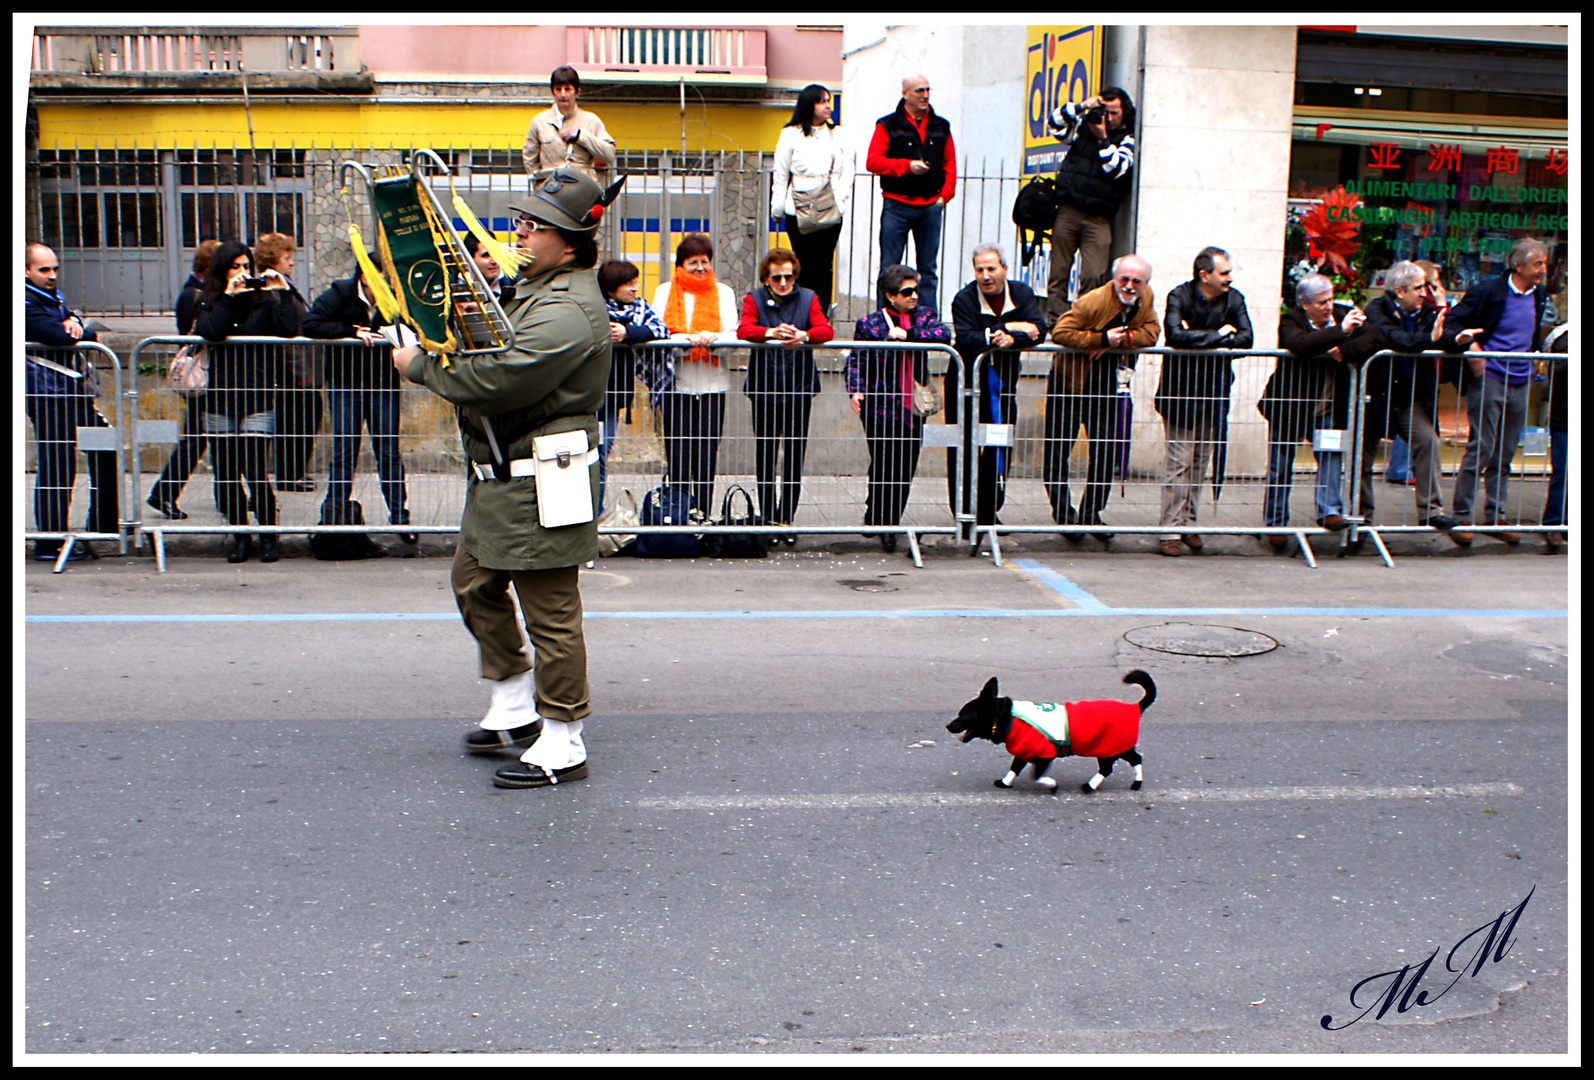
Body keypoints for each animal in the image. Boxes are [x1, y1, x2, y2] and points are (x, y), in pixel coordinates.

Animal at [943, 669, 1160, 796]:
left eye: (962, 716)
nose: (947, 726)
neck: (1005, 717)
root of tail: (1135, 707)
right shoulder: (1022, 752)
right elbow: (1014, 768)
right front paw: (1005, 783)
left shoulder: (1044, 756)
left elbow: (1037, 776)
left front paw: (1052, 785)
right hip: (1120, 748)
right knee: (1136, 759)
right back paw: (1136, 783)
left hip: (1107, 750)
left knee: (1107, 769)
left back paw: (1090, 786)